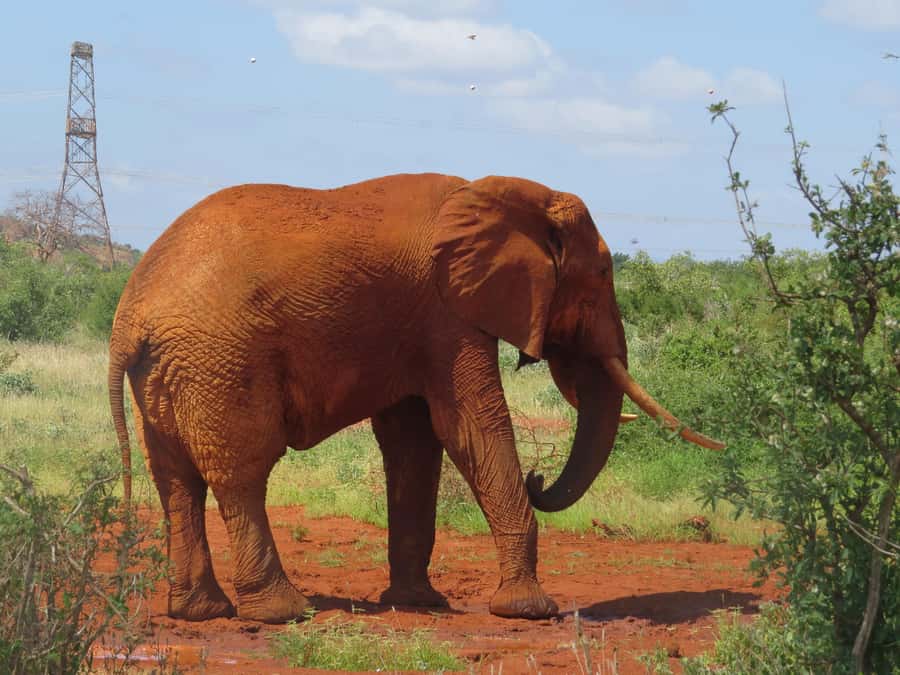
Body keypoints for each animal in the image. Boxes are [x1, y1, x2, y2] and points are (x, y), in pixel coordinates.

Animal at [108, 173, 723, 624]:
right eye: (601, 273)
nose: (538, 478)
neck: (507, 193)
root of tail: (129, 318)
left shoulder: (418, 325)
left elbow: (414, 444)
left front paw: (419, 604)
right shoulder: (447, 313)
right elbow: (471, 427)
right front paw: (528, 611)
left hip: (170, 372)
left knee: (177, 482)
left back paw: (200, 613)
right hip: (221, 359)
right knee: (242, 474)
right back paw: (283, 614)